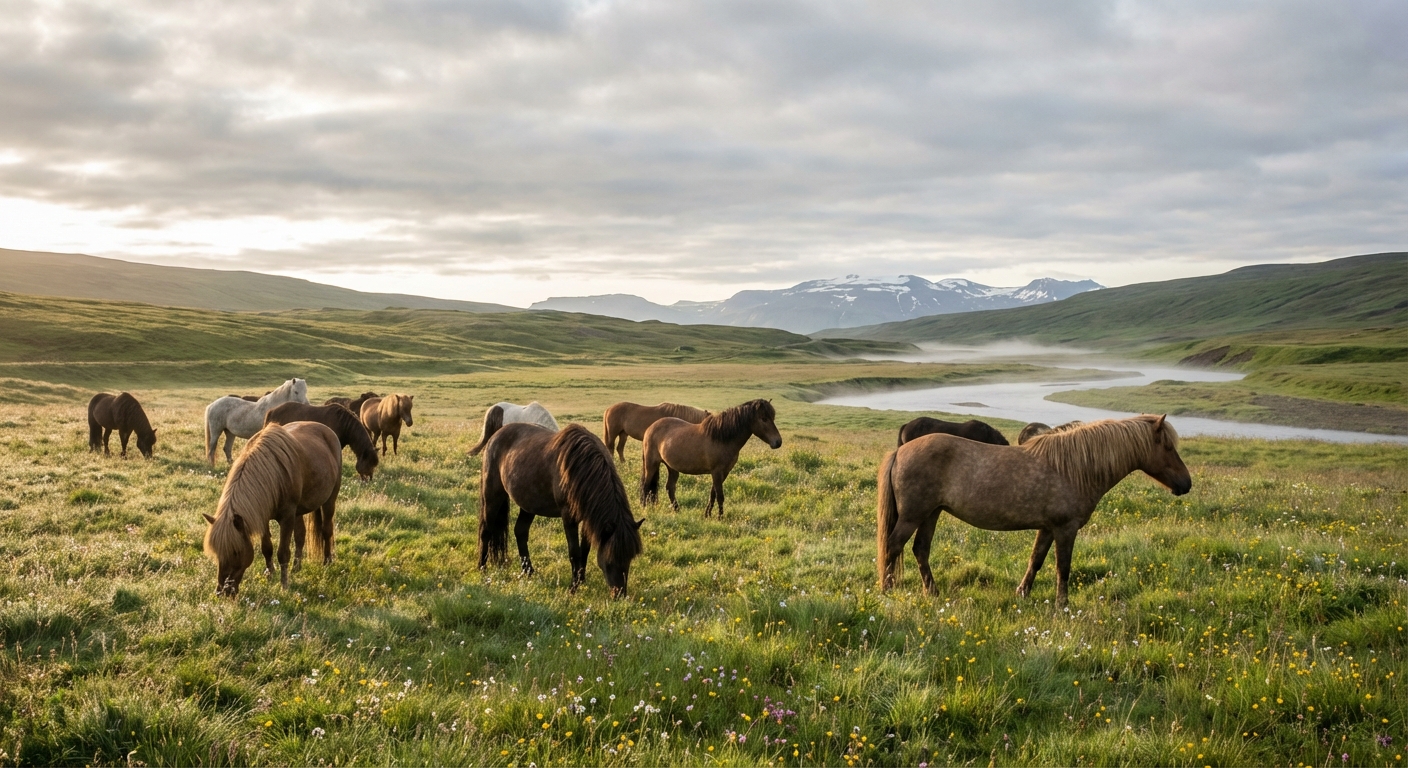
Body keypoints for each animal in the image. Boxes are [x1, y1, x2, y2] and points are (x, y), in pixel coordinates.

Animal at [201, 422, 342, 596]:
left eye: (236, 552)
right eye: (217, 552)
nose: (223, 591)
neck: (273, 475)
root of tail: (326, 429)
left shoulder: (287, 518)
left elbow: (283, 553)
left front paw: (284, 585)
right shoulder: (263, 517)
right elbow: (267, 548)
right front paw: (270, 574)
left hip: (329, 500)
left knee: (326, 530)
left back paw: (327, 562)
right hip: (299, 512)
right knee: (300, 535)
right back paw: (296, 567)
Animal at [478, 423, 643, 597]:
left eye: (630, 558)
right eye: (611, 560)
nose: (620, 594)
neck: (581, 469)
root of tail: (495, 436)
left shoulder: (588, 519)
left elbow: (585, 550)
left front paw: (581, 579)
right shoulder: (569, 517)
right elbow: (574, 552)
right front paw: (573, 587)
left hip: (529, 504)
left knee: (520, 532)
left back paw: (528, 571)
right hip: (493, 496)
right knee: (486, 531)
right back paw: (482, 568)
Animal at [640, 398, 782, 517]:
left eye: (772, 417)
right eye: (763, 419)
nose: (778, 442)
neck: (721, 438)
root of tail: (650, 428)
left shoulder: (724, 472)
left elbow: (713, 493)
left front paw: (707, 514)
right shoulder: (716, 472)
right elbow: (720, 495)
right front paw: (720, 517)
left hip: (672, 467)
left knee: (670, 487)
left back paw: (677, 510)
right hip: (651, 463)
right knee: (646, 485)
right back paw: (645, 508)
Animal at [877, 414, 1191, 606]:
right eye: (1167, 446)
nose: (1186, 484)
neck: (1074, 469)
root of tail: (900, 451)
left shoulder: (1048, 528)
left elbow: (1036, 560)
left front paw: (1022, 594)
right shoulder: (1065, 529)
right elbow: (1063, 567)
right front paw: (1063, 606)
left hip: (931, 513)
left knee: (920, 549)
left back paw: (932, 592)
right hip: (913, 516)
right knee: (893, 546)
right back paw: (887, 591)